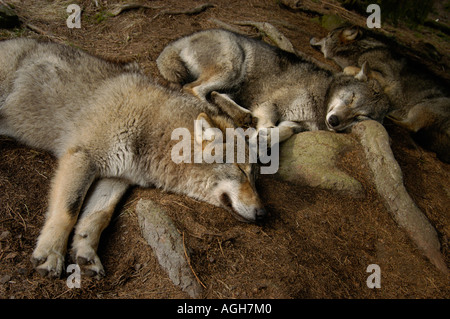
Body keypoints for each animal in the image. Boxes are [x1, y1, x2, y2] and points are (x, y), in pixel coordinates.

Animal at [0, 38, 266, 280]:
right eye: (241, 171)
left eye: (253, 177)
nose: (264, 213)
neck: (151, 128)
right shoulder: (82, 158)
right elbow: (69, 211)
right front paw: (51, 254)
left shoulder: (116, 178)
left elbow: (98, 217)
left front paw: (86, 253)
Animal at [156, 29, 388, 139]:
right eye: (351, 98)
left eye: (360, 117)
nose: (335, 121)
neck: (322, 98)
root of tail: (180, 40)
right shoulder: (270, 105)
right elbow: (268, 124)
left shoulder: (295, 124)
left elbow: (284, 132)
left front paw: (267, 139)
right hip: (233, 67)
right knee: (193, 89)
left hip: (234, 82)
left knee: (214, 93)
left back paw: (242, 114)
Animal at [310, 26, 450, 164]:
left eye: (328, 35)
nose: (312, 37)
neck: (363, 50)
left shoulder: (384, 77)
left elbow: (349, 68)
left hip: (422, 106)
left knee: (411, 126)